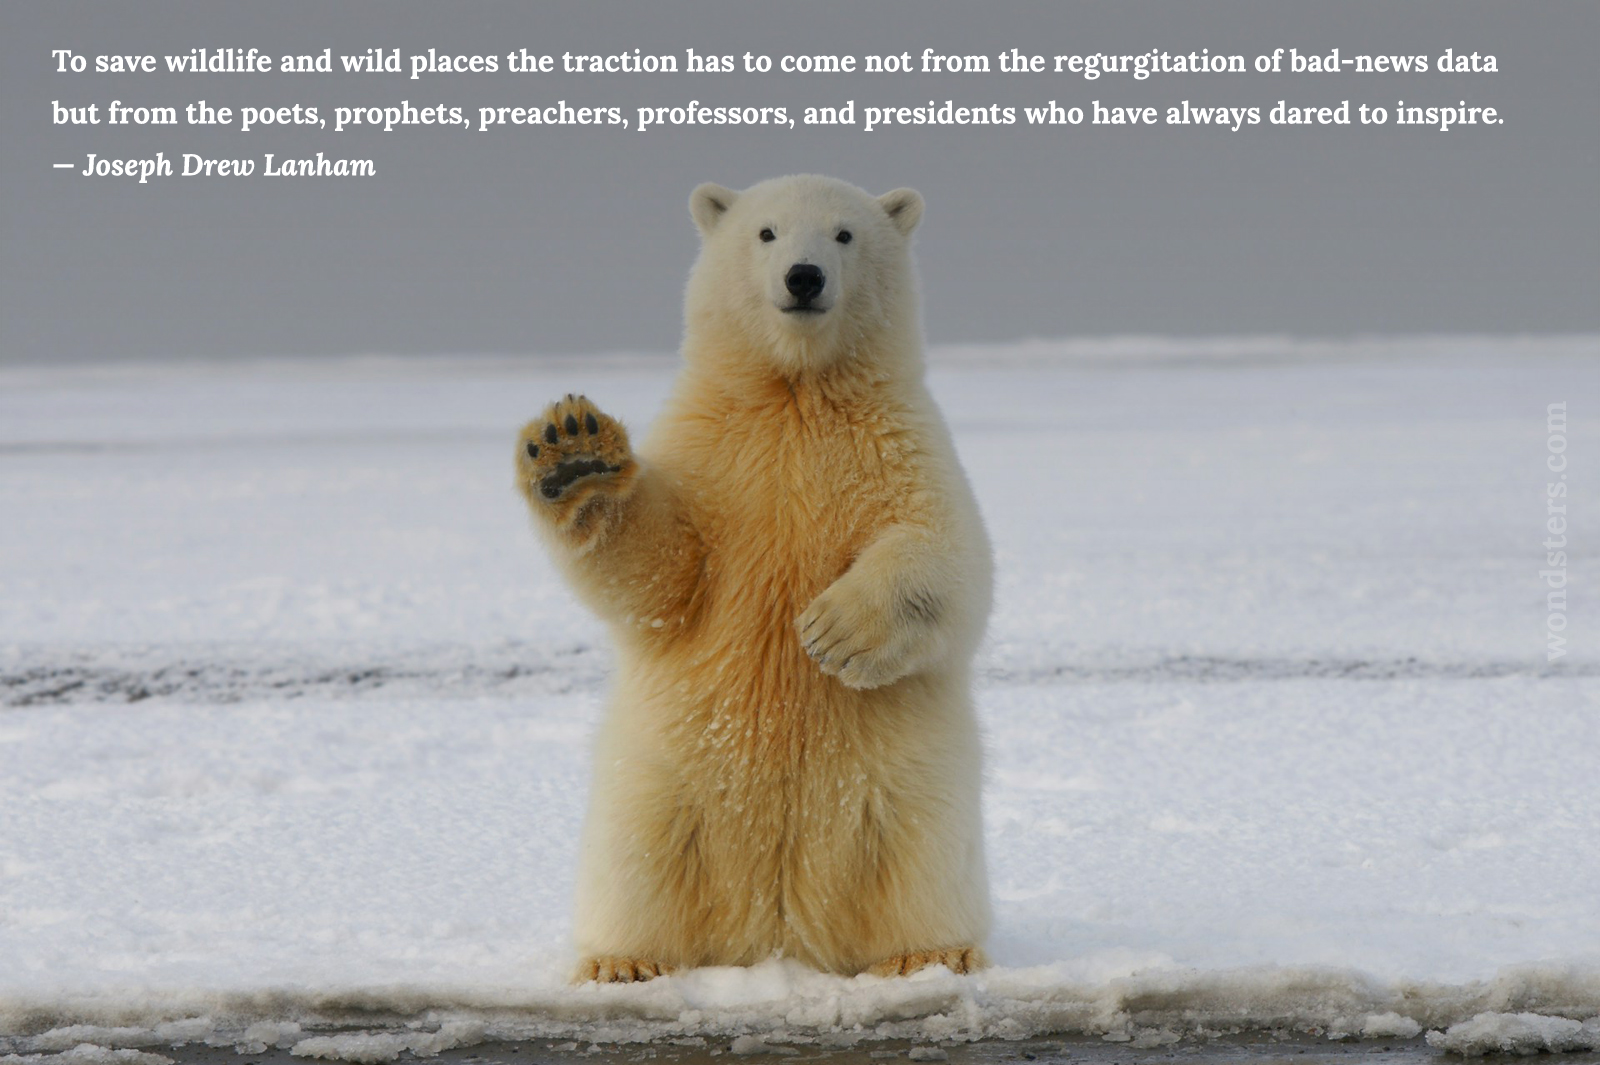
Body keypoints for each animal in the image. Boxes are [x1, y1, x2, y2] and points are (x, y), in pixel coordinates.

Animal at [514, 174, 993, 982]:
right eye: (766, 232)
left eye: (844, 234)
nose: (804, 277)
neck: (795, 392)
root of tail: (777, 933)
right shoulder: (714, 452)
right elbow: (663, 573)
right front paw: (573, 452)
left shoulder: (899, 442)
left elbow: (947, 554)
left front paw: (833, 631)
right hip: (661, 783)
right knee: (638, 861)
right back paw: (622, 961)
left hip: (908, 786)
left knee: (920, 857)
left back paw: (932, 952)